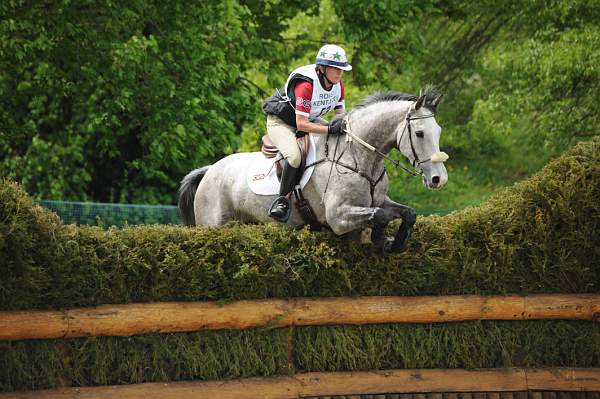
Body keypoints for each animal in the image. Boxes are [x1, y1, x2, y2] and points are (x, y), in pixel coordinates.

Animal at [179, 90, 450, 253]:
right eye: (419, 133)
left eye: (438, 131)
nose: (439, 179)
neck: (360, 157)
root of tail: (209, 171)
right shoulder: (338, 216)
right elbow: (380, 216)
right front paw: (382, 240)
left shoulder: (378, 201)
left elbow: (408, 213)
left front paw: (398, 242)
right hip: (213, 225)